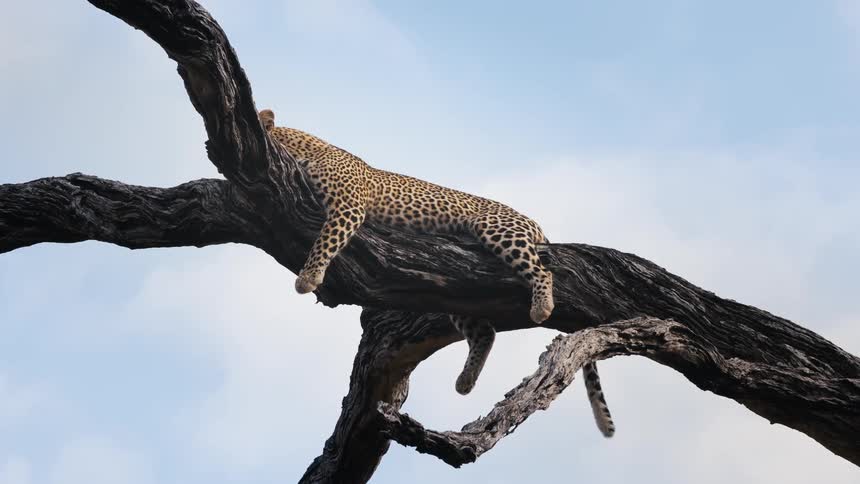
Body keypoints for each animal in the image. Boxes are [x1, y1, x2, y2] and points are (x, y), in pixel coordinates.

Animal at [260, 108, 615, 437]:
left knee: (542, 272)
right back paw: (465, 381)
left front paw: (308, 278)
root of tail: (535, 224)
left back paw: (542, 307)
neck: (307, 147)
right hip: (455, 290)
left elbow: (325, 241)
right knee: (485, 332)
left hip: (495, 229)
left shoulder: (348, 208)